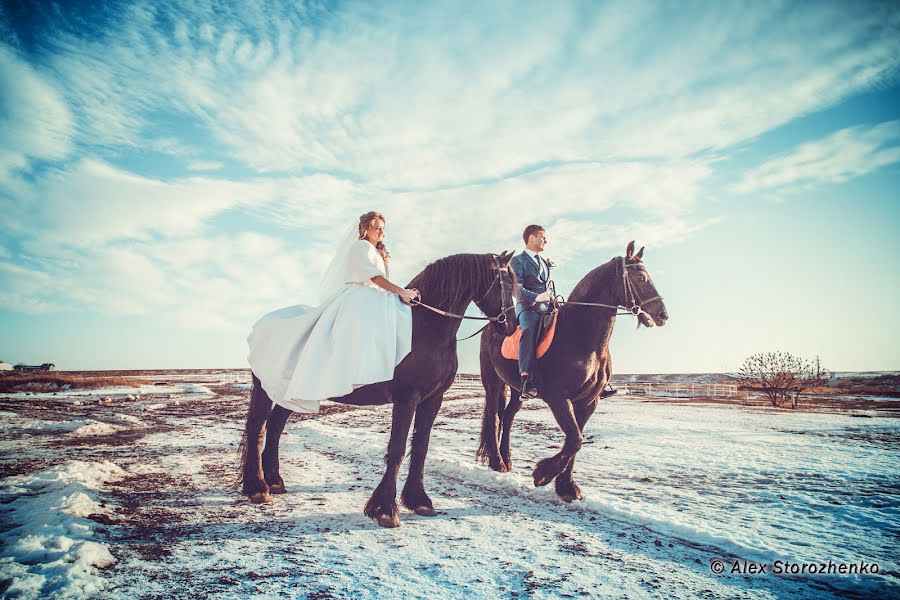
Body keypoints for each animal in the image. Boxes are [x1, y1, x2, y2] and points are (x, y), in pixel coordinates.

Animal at [239, 251, 516, 528]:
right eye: (506, 282)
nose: (511, 327)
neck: (425, 327)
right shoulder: (406, 399)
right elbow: (397, 449)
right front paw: (385, 509)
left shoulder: (432, 399)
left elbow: (421, 449)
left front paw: (419, 501)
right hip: (266, 389)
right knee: (257, 428)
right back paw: (258, 487)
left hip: (289, 393)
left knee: (275, 426)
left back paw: (274, 481)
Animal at [478, 243, 668, 502]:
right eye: (640, 277)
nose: (662, 315)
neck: (579, 333)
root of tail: (490, 325)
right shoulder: (558, 397)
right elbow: (575, 439)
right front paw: (543, 474)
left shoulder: (588, 401)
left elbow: (575, 441)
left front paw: (566, 486)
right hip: (493, 382)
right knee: (494, 417)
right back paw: (497, 462)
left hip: (518, 390)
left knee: (507, 417)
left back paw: (507, 460)